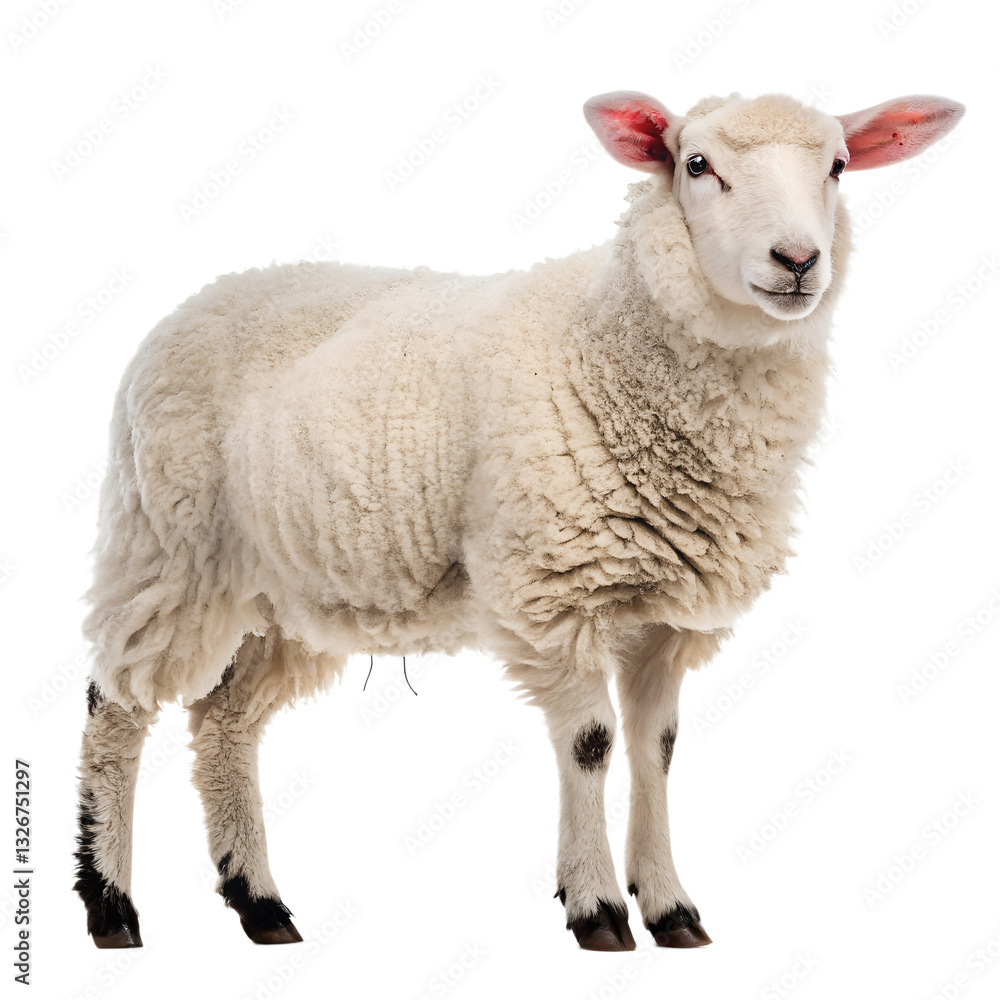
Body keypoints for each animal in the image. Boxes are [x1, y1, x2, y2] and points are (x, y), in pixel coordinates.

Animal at [74, 89, 964, 951]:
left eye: (839, 165)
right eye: (697, 164)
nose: (798, 261)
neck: (608, 345)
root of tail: (197, 299)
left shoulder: (666, 618)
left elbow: (658, 749)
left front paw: (670, 906)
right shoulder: (555, 590)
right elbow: (591, 744)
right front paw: (597, 907)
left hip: (287, 592)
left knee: (224, 725)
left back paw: (259, 903)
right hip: (168, 547)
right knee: (115, 709)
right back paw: (111, 906)